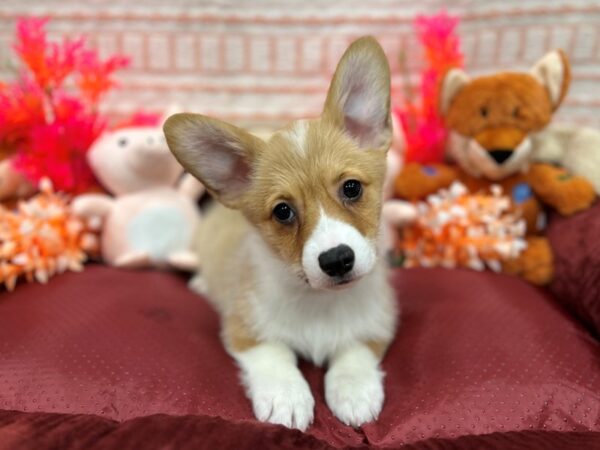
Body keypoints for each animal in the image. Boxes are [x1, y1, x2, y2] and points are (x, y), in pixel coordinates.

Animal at [164, 37, 398, 430]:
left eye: (351, 188)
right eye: (283, 211)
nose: (337, 259)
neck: (320, 303)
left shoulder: (376, 325)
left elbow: (353, 354)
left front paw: (354, 392)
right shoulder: (245, 330)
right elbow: (275, 357)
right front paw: (286, 398)